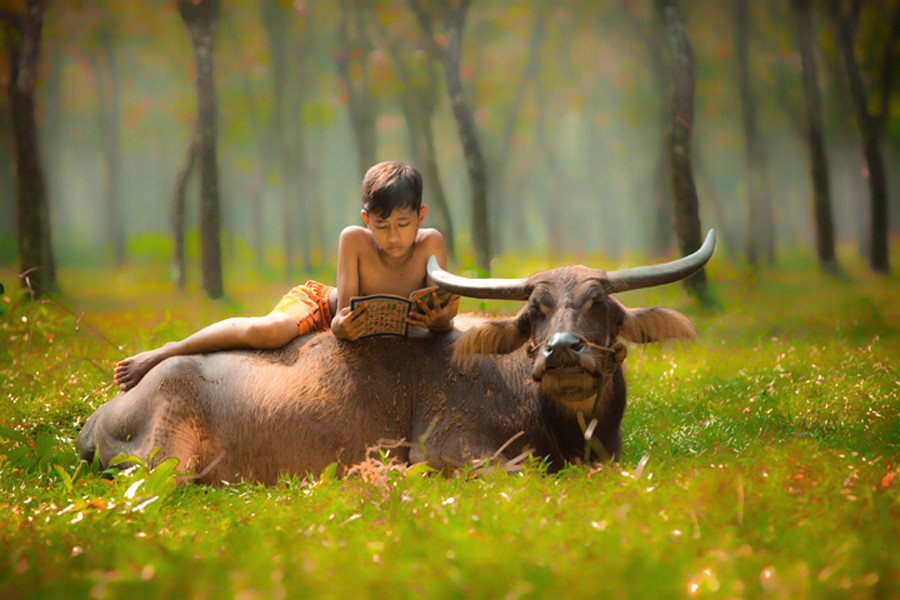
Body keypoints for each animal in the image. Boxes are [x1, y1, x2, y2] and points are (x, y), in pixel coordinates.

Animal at [77, 230, 712, 482]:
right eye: (535, 309)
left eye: (599, 303)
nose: (562, 350)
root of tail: (96, 417)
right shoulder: (448, 444)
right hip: (163, 460)